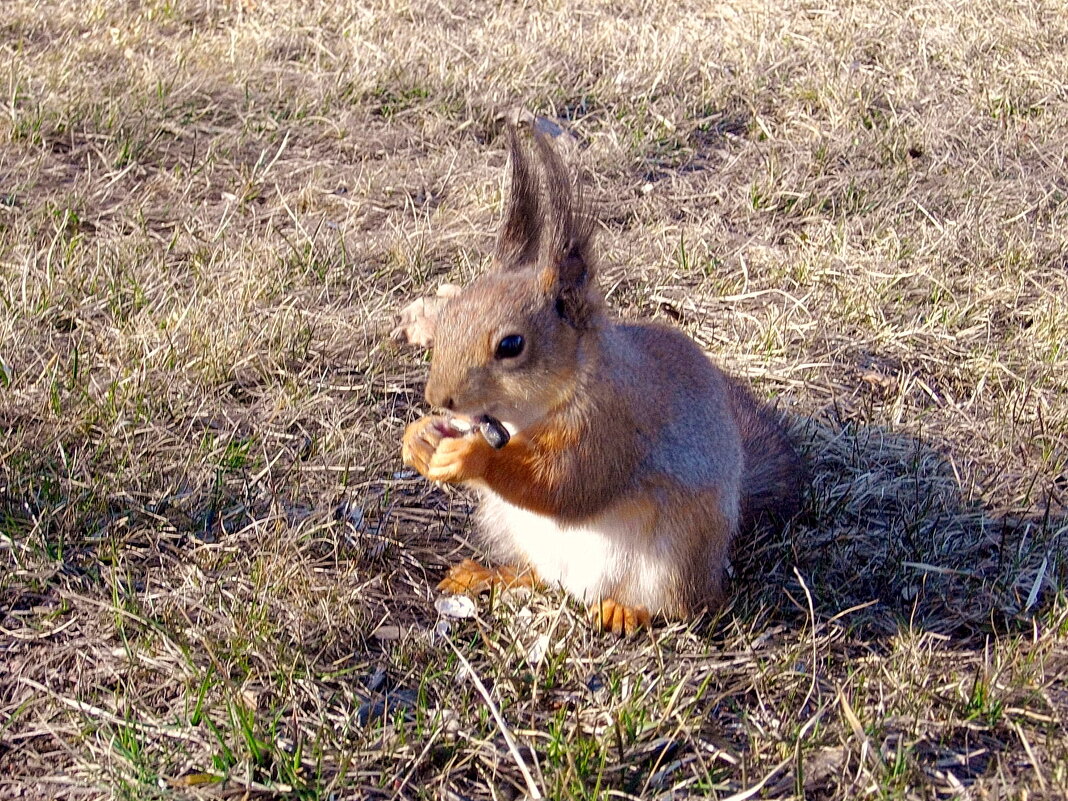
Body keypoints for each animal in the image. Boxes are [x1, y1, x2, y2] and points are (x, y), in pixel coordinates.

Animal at [399, 125, 803, 636]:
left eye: (511, 345)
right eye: (447, 316)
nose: (438, 397)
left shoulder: (616, 422)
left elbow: (568, 484)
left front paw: (472, 456)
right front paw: (418, 438)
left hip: (674, 556)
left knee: (683, 607)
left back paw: (626, 610)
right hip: (512, 528)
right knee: (538, 575)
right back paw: (489, 574)